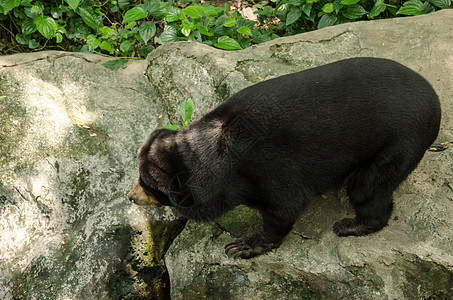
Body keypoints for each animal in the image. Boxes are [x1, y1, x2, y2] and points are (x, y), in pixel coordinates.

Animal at [129, 58, 440, 258]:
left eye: (147, 185)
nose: (131, 196)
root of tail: (435, 102)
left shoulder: (269, 168)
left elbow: (285, 207)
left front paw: (242, 246)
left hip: (398, 145)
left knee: (367, 188)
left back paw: (351, 224)